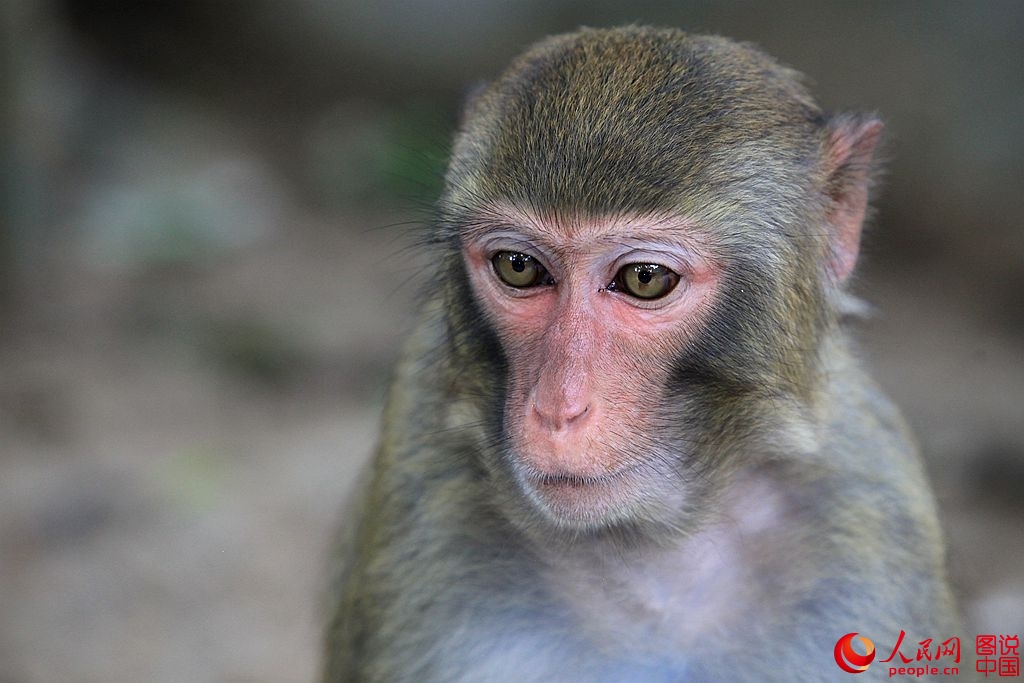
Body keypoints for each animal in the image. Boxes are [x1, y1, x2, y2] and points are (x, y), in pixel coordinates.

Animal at [325, 26, 958, 683]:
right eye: (518, 266)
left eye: (644, 279)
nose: (557, 410)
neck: (651, 540)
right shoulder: (420, 471)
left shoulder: (868, 501)